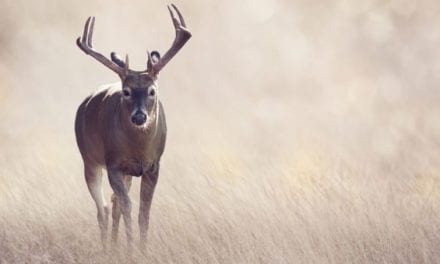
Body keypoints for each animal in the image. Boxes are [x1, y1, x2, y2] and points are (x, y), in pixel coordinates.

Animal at [74, 3, 191, 253]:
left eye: (152, 90)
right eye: (126, 91)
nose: (139, 117)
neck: (138, 149)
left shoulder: (153, 166)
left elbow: (143, 212)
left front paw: (142, 250)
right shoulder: (113, 164)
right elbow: (127, 206)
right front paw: (130, 249)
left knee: (113, 204)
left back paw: (114, 245)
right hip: (89, 159)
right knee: (103, 208)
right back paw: (107, 249)